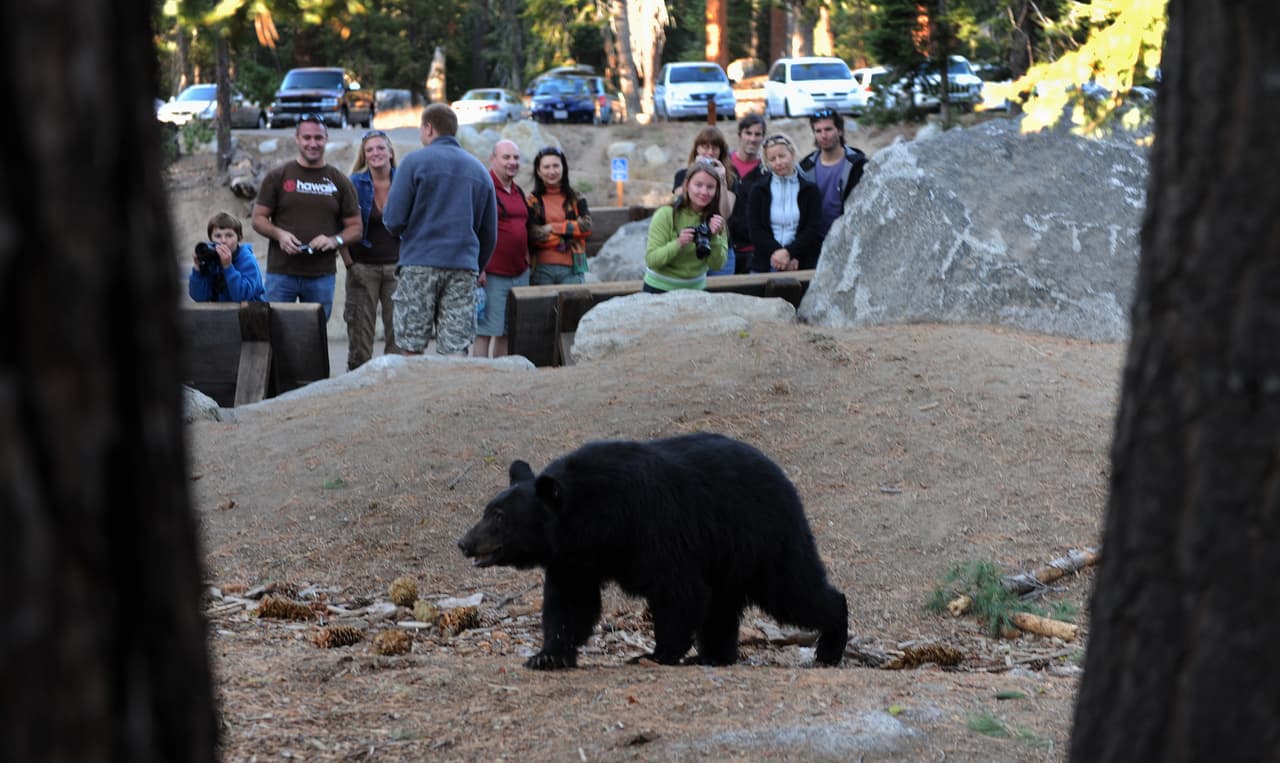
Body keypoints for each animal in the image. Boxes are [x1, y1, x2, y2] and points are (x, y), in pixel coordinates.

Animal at [457, 432, 848, 670]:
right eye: (487, 510)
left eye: (499, 516)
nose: (465, 543)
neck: (593, 518)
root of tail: (784, 479)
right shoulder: (574, 558)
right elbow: (570, 603)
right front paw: (546, 655)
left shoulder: (651, 529)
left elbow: (678, 590)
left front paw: (656, 654)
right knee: (722, 607)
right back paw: (714, 657)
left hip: (764, 538)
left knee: (794, 591)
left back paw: (830, 645)